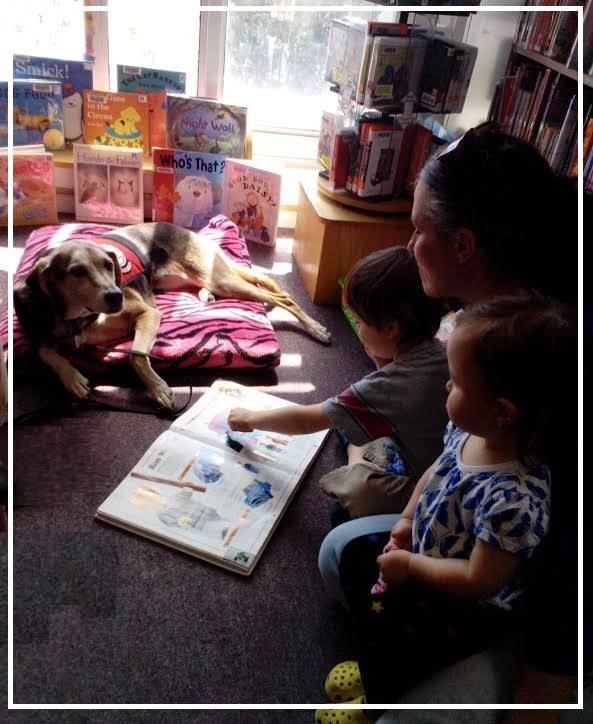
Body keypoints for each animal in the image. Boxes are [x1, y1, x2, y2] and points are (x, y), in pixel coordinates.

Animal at [13, 222, 330, 408]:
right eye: (77, 271)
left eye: (108, 265)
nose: (116, 296)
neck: (81, 318)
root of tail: (192, 233)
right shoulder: (48, 334)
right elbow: (44, 351)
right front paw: (73, 377)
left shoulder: (149, 314)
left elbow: (135, 356)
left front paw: (157, 389)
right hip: (186, 281)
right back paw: (205, 296)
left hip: (222, 280)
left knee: (282, 297)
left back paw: (315, 327)